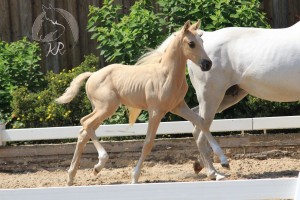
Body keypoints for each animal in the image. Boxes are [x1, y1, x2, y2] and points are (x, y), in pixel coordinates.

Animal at [55, 20, 218, 186]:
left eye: (202, 42)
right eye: (191, 43)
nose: (207, 64)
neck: (167, 76)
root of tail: (92, 75)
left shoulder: (178, 107)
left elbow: (202, 122)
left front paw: (220, 164)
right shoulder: (156, 111)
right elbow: (148, 143)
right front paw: (134, 177)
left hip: (101, 109)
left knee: (84, 131)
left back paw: (73, 176)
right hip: (106, 108)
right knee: (86, 123)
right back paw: (98, 164)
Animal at [151, 21, 300, 180]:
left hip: (226, 96)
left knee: (197, 120)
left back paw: (201, 165)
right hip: (211, 96)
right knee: (200, 129)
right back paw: (215, 171)